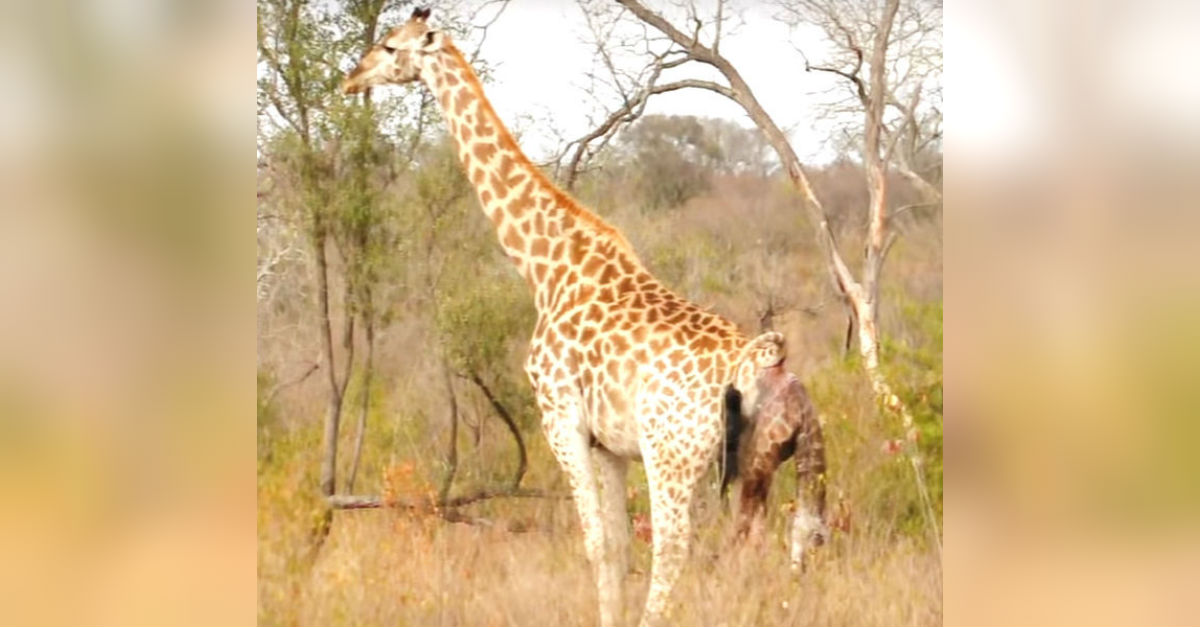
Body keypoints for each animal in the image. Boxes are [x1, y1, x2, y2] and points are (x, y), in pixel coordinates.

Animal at [343, 9, 800, 625]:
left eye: (391, 46)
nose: (351, 79)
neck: (546, 266)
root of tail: (753, 363)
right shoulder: (610, 444)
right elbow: (618, 548)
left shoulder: (560, 419)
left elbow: (597, 544)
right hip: (751, 463)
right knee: (747, 548)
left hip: (673, 458)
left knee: (674, 550)